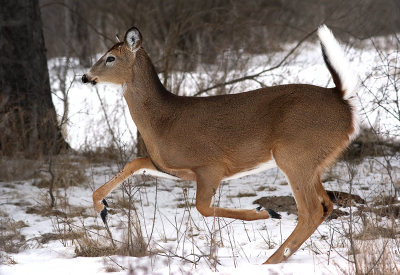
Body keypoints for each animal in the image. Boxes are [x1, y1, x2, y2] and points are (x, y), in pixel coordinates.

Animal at [82, 25, 360, 266]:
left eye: (110, 58)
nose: (85, 76)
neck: (162, 120)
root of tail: (342, 100)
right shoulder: (170, 167)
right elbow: (134, 162)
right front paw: (102, 207)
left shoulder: (210, 165)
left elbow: (202, 208)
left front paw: (265, 211)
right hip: (311, 161)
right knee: (326, 204)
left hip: (294, 154)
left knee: (311, 210)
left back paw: (270, 259)